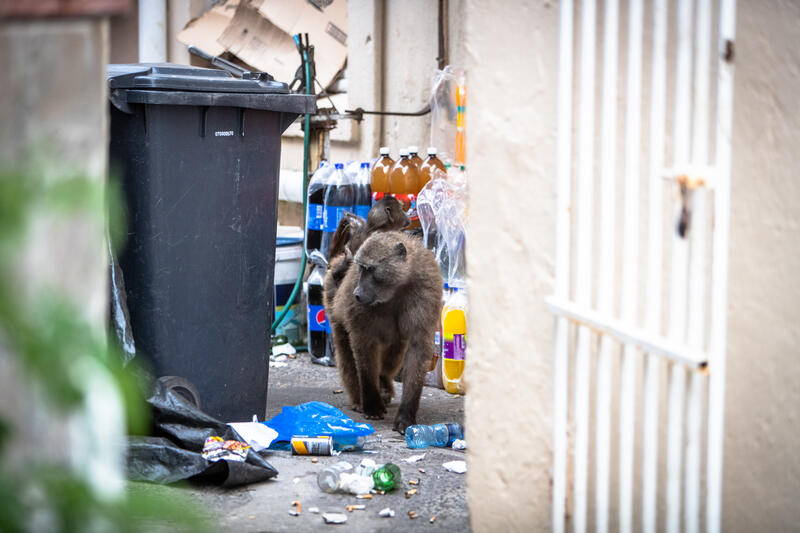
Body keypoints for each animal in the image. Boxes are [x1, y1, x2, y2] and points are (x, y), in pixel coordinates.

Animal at [324, 231, 443, 434]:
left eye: (370, 269)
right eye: (361, 269)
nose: (357, 293)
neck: (398, 287)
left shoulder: (426, 292)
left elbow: (417, 348)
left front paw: (405, 416)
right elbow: (364, 346)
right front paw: (372, 406)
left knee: (395, 349)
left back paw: (384, 383)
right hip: (332, 299)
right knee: (347, 351)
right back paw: (359, 400)